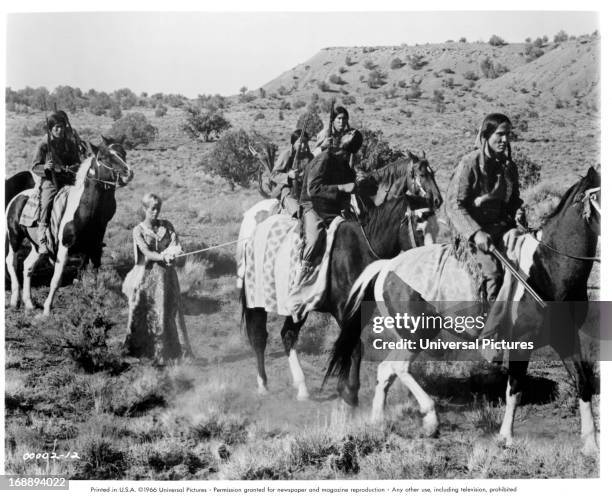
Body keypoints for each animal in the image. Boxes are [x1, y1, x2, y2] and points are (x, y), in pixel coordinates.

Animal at [5, 136, 133, 314]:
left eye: (123, 153)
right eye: (103, 157)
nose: (128, 173)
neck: (85, 212)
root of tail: (17, 198)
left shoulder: (94, 250)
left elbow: (94, 277)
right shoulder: (64, 248)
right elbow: (56, 279)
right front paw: (47, 309)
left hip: (37, 246)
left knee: (28, 266)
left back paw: (29, 303)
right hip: (14, 236)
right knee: (11, 261)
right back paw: (15, 300)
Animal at [326, 167, 604, 454]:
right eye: (599, 196)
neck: (545, 268)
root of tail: (386, 266)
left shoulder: (566, 338)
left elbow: (583, 382)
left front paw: (590, 444)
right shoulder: (521, 343)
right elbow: (515, 388)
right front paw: (505, 437)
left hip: (414, 334)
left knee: (386, 370)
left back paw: (378, 423)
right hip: (416, 333)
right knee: (398, 367)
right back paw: (431, 419)